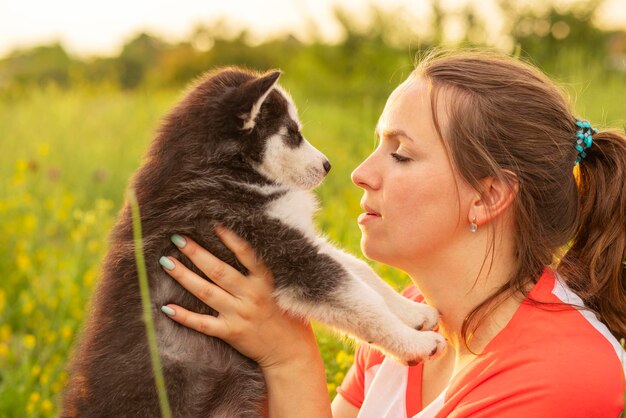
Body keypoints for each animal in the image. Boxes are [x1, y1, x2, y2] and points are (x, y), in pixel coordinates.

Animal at [62, 67, 444, 416]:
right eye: (293, 134)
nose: (328, 166)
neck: (224, 170)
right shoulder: (279, 246)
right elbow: (359, 298)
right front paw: (414, 343)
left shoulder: (294, 234)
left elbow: (362, 272)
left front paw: (413, 312)